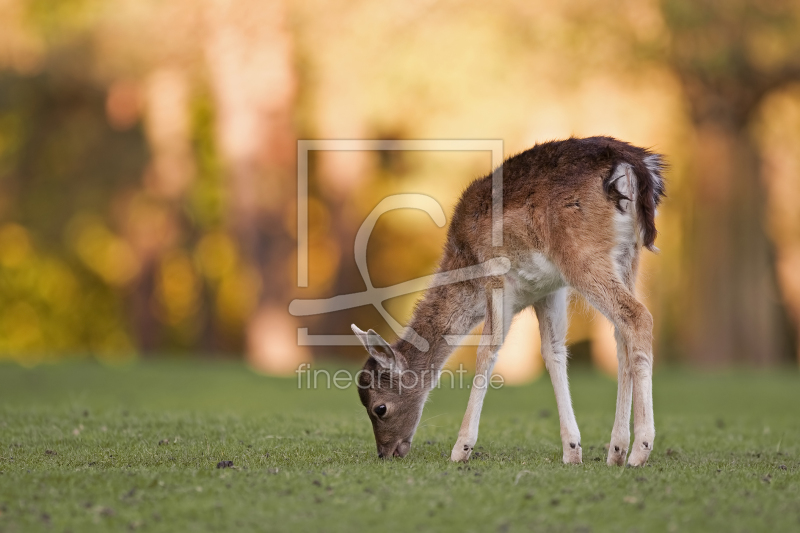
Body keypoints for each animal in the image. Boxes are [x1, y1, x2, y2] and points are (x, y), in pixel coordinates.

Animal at [354, 136, 664, 466]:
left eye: (379, 408)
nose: (385, 453)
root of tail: (633, 163)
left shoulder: (496, 276)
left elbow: (487, 350)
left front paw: (461, 448)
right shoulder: (549, 290)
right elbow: (553, 352)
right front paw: (572, 450)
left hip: (581, 254)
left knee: (638, 315)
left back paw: (640, 450)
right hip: (628, 257)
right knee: (621, 334)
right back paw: (616, 450)